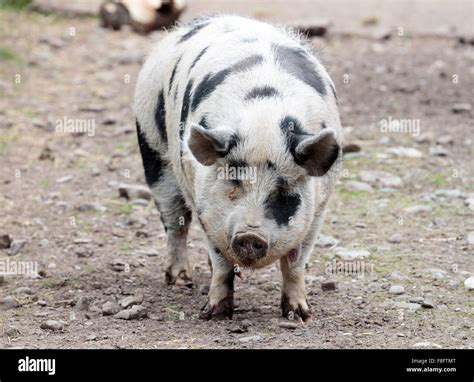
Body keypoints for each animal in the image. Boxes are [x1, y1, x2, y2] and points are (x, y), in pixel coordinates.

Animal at [135, 14, 342, 320]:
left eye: (283, 192)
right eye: (233, 182)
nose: (250, 235)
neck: (264, 120)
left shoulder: (317, 209)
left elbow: (295, 264)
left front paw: (300, 315)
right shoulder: (207, 211)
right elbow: (221, 262)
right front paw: (214, 314)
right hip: (152, 148)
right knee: (175, 222)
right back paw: (180, 280)